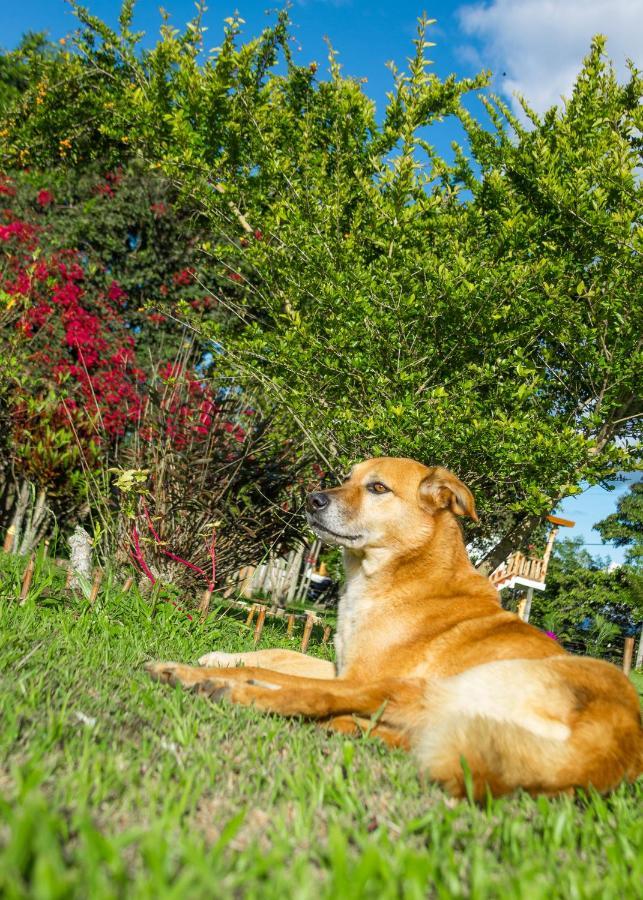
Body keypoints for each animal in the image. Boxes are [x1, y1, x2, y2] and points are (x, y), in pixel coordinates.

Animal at [147, 460, 643, 800]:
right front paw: (220, 655)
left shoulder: (358, 674)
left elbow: (284, 669)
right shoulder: (342, 664)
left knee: (310, 695)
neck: (400, 571)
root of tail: (611, 743)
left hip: (420, 686)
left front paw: (214, 669)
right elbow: (281, 654)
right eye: (346, 478)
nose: (312, 499)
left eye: (378, 488)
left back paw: (209, 683)